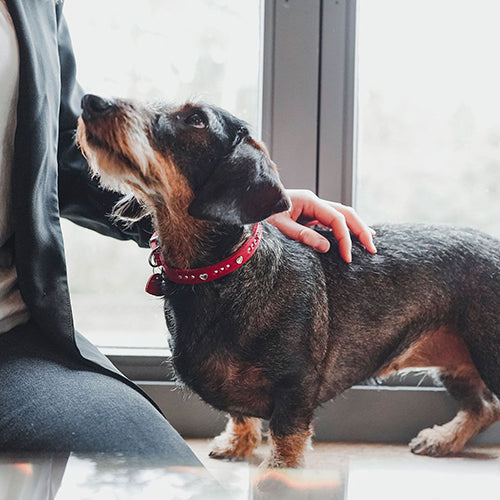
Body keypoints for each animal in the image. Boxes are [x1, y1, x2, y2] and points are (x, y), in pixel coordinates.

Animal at [75, 94, 500, 468]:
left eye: (196, 119)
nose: (90, 101)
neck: (223, 273)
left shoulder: (295, 390)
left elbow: (286, 438)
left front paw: (279, 470)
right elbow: (240, 414)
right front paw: (237, 443)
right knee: (483, 408)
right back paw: (444, 438)